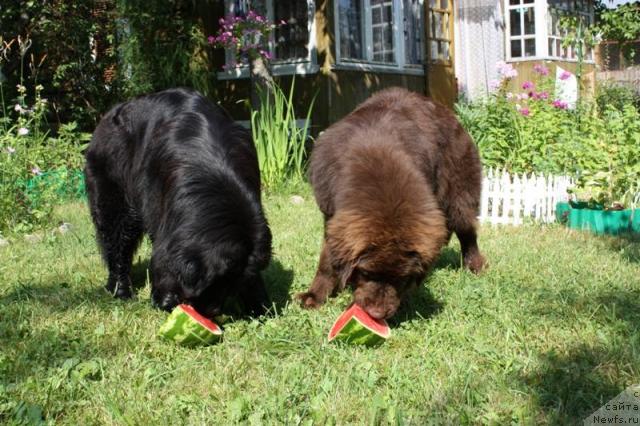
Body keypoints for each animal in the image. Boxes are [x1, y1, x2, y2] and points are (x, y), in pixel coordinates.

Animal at [84, 88, 272, 318]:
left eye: (231, 285)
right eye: (213, 283)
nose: (211, 312)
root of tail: (109, 115)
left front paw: (259, 303)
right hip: (114, 200)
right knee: (116, 240)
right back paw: (120, 290)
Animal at [296, 87, 484, 320]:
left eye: (401, 278)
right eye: (365, 272)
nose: (377, 314)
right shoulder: (330, 213)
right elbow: (326, 261)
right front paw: (314, 296)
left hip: (459, 192)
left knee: (467, 232)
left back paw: (474, 266)